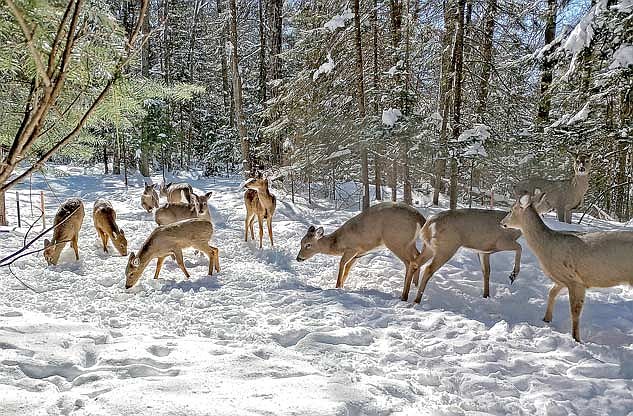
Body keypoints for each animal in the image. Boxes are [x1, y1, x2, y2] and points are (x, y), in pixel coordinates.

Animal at [296, 202, 424, 302]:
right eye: (301, 242)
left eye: (308, 245)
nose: (298, 258)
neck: (338, 243)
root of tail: (419, 217)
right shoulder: (359, 254)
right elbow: (347, 269)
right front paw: (342, 285)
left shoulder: (352, 248)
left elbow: (342, 264)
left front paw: (337, 286)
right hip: (409, 242)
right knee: (417, 256)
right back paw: (415, 286)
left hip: (396, 241)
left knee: (409, 262)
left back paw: (404, 296)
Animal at [498, 190, 632, 342]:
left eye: (511, 210)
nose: (501, 223)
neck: (546, 247)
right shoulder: (561, 279)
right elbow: (551, 293)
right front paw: (546, 319)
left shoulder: (575, 280)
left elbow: (575, 311)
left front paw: (576, 339)